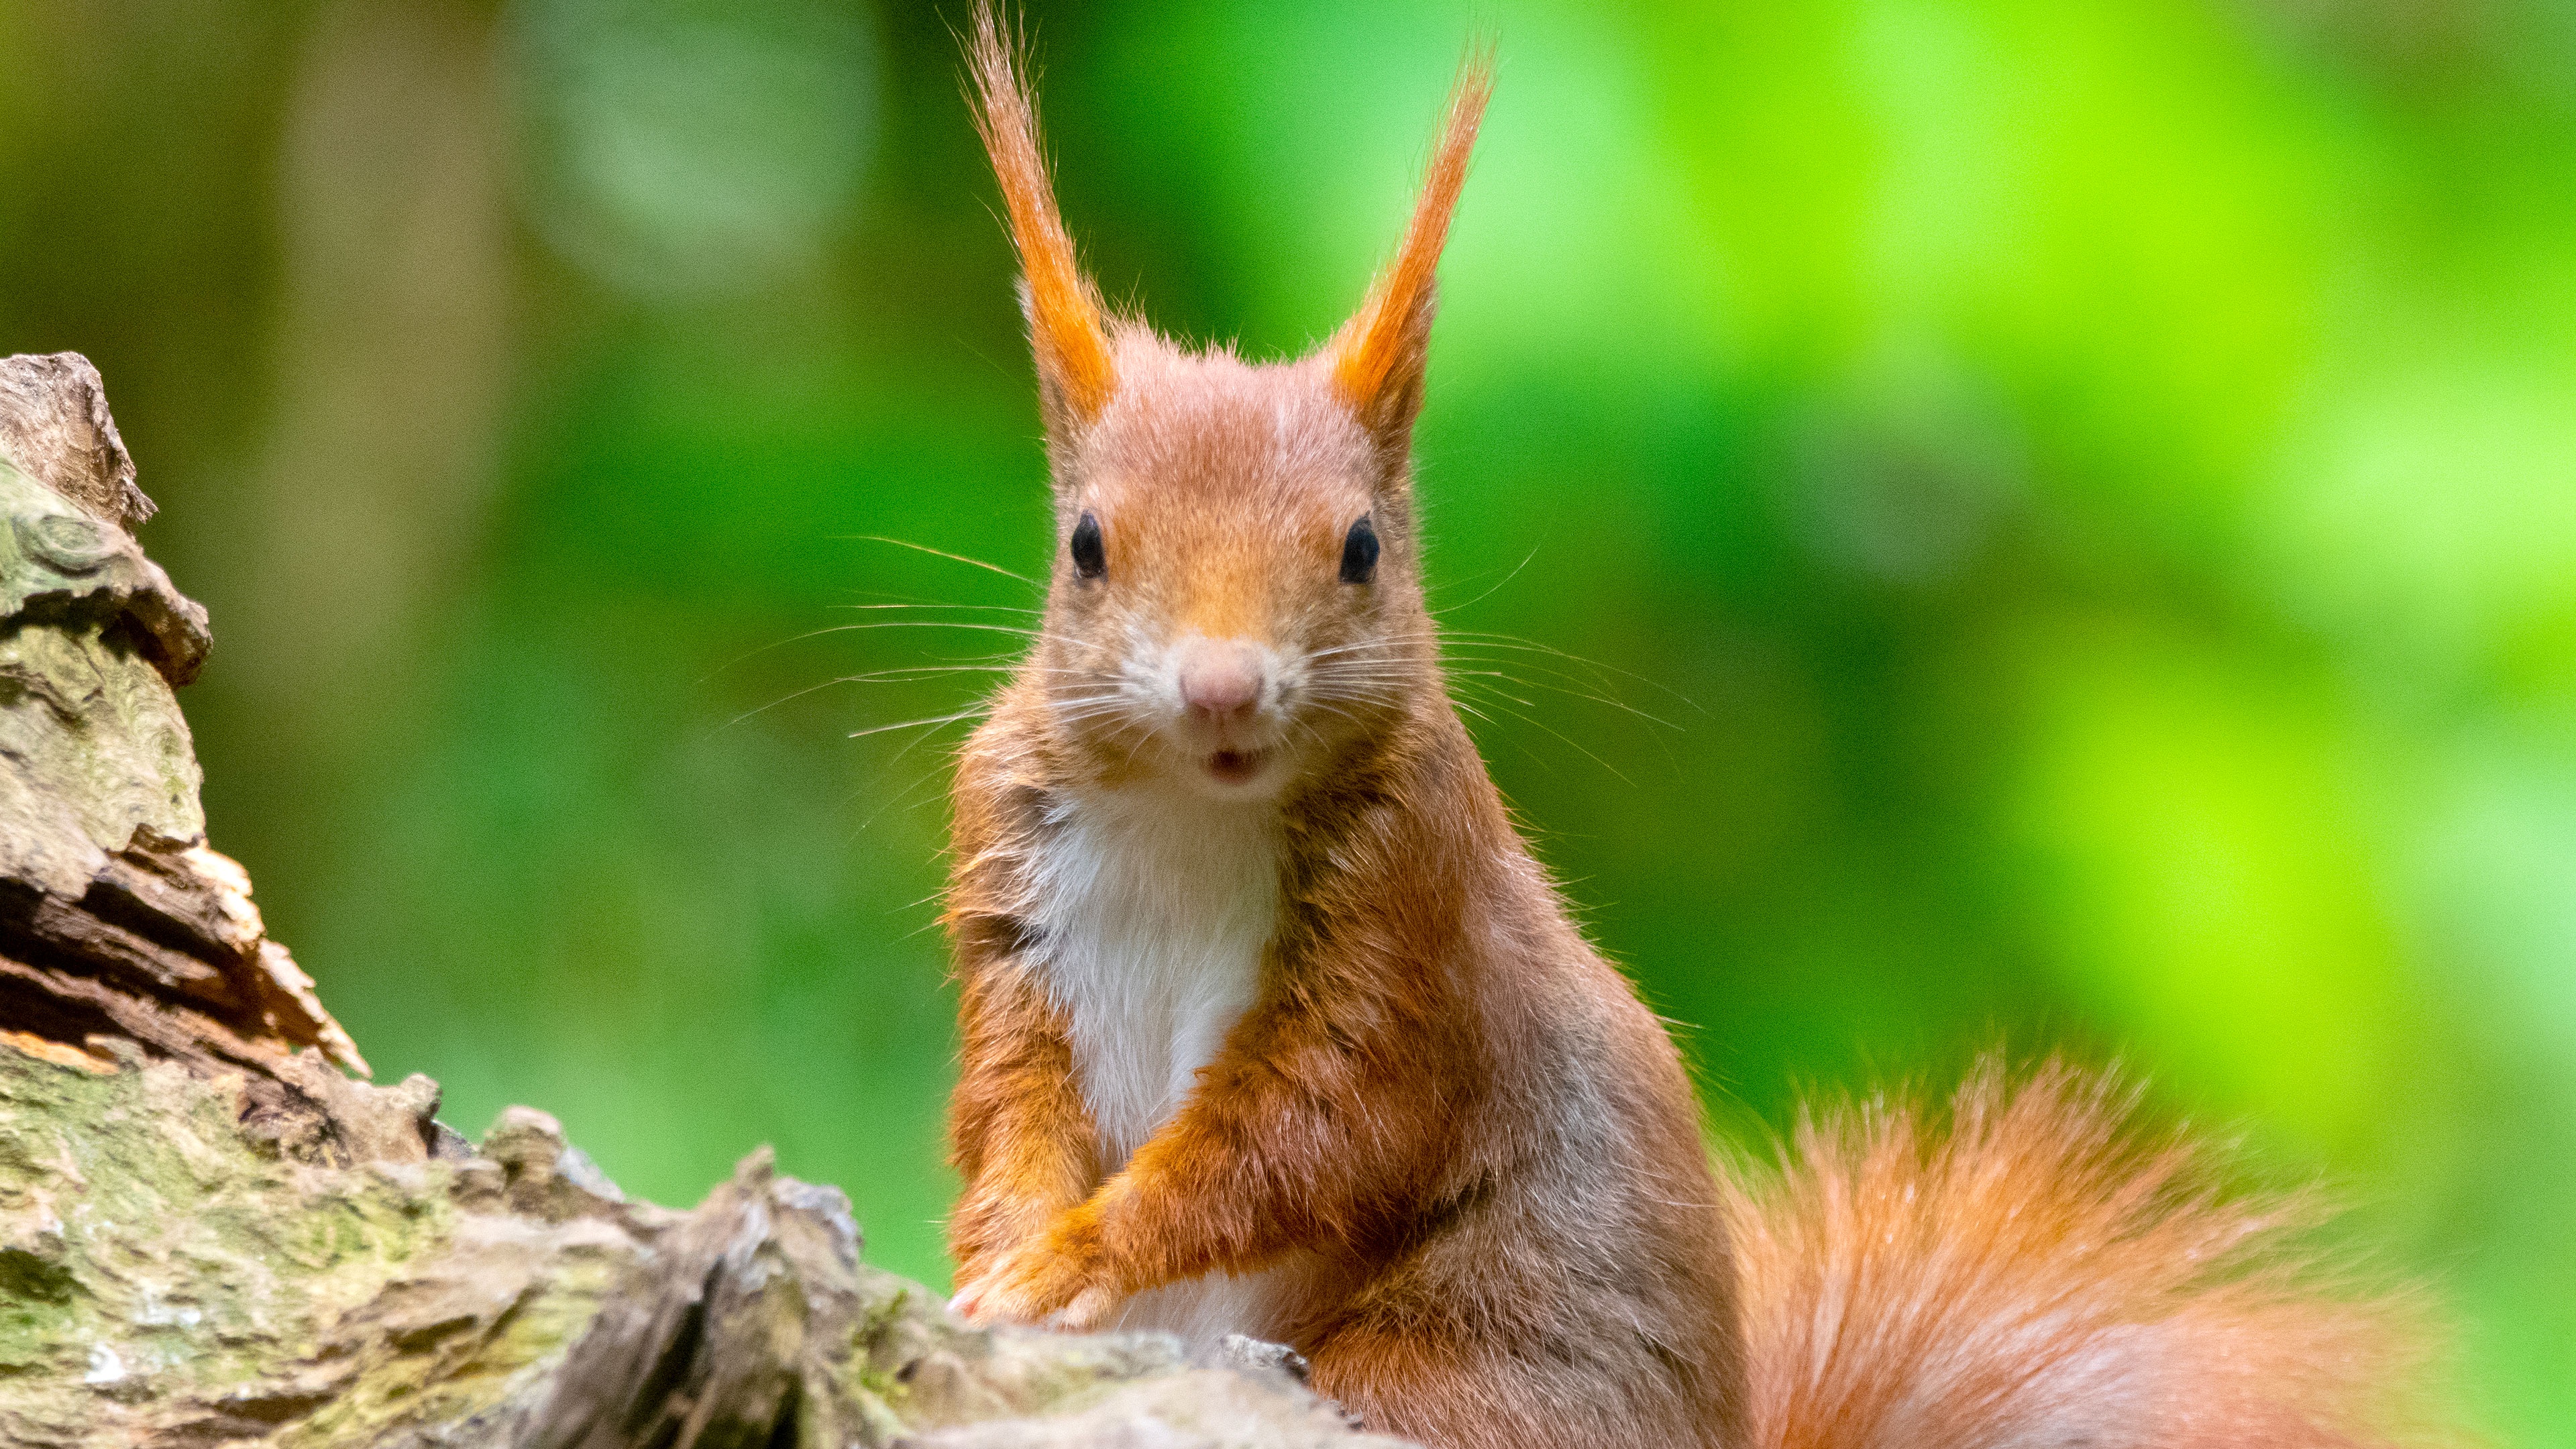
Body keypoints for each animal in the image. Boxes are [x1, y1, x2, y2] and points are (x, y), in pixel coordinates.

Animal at [937, 8, 2442, 1433]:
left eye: (1362, 548)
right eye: (1085, 545)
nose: (1223, 687)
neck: (1196, 819)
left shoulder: (1410, 932)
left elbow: (1304, 1136)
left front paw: (1078, 1253)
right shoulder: (1016, 904)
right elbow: (1011, 1106)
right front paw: (1006, 1254)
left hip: (1464, 1363)